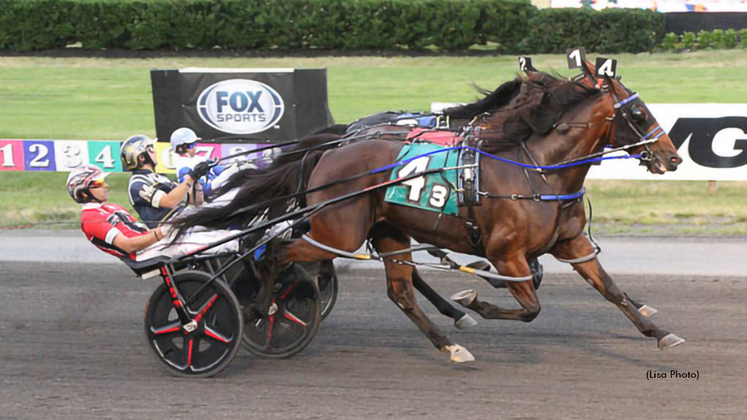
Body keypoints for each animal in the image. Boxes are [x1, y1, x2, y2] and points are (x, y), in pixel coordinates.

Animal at [175, 64, 684, 362]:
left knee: (400, 291)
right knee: (278, 249)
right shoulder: (507, 253)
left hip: (387, 229)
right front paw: (474, 299)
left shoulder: (572, 242)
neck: (537, 170)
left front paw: (658, 330)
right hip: (337, 231)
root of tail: (333, 149)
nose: (672, 157)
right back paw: (260, 307)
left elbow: (611, 290)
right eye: (639, 113)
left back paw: (450, 342)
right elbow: (531, 306)